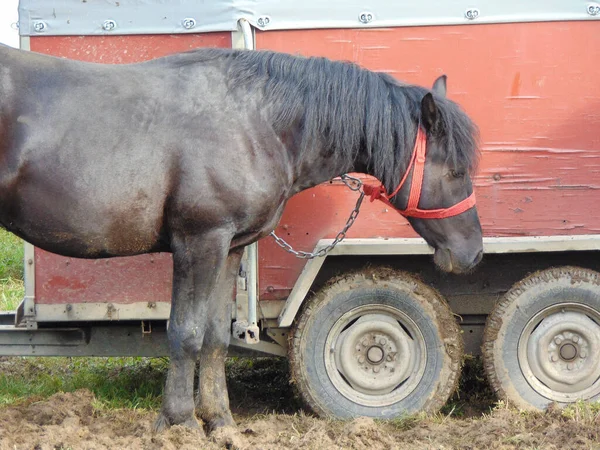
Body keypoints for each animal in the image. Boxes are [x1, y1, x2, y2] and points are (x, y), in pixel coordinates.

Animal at [0, 45, 480, 436]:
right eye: (456, 170)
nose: (472, 253)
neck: (254, 120)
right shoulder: (199, 241)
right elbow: (185, 332)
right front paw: (178, 422)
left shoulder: (229, 247)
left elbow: (215, 336)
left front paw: (219, 421)